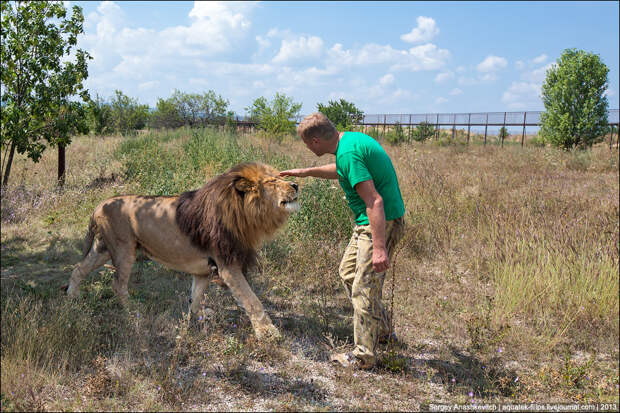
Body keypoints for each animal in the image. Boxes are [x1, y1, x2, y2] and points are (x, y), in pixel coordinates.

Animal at [66, 161, 300, 338]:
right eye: (272, 181)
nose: (296, 184)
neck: (244, 213)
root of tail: (100, 204)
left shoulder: (205, 270)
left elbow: (195, 298)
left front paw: (193, 324)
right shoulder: (228, 265)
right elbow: (252, 300)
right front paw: (269, 333)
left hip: (104, 248)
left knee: (79, 268)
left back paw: (72, 298)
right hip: (124, 249)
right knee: (117, 285)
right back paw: (134, 312)